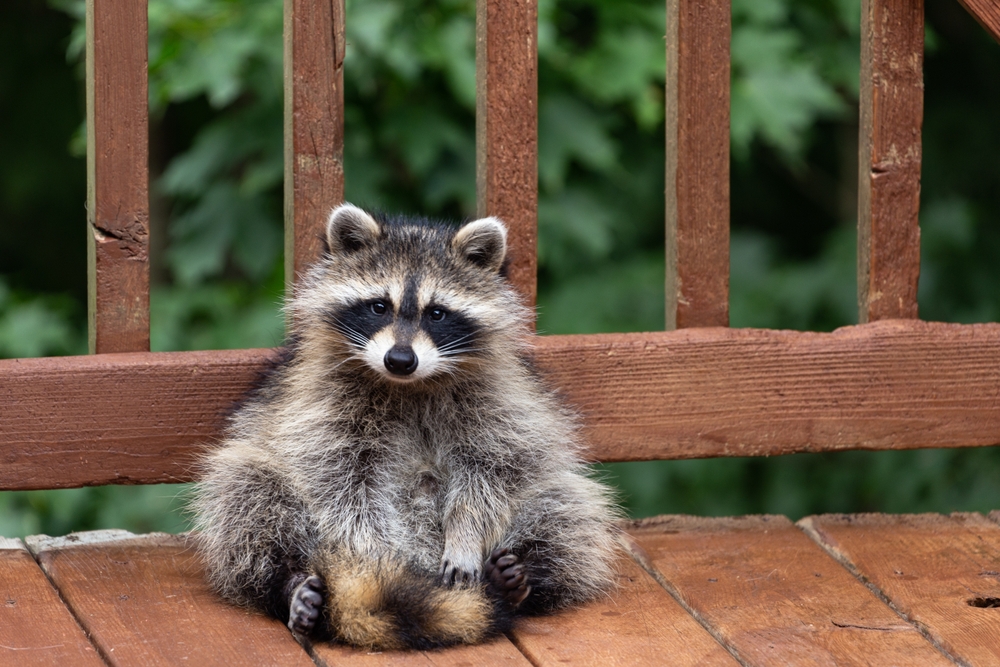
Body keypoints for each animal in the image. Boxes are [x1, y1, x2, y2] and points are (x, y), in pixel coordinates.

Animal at [192, 204, 621, 650]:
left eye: (437, 313)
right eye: (380, 306)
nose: (400, 359)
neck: (409, 385)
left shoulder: (501, 398)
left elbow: (497, 468)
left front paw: (465, 532)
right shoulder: (320, 404)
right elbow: (343, 486)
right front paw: (372, 560)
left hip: (550, 503)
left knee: (565, 509)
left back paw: (521, 578)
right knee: (247, 494)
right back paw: (292, 585)